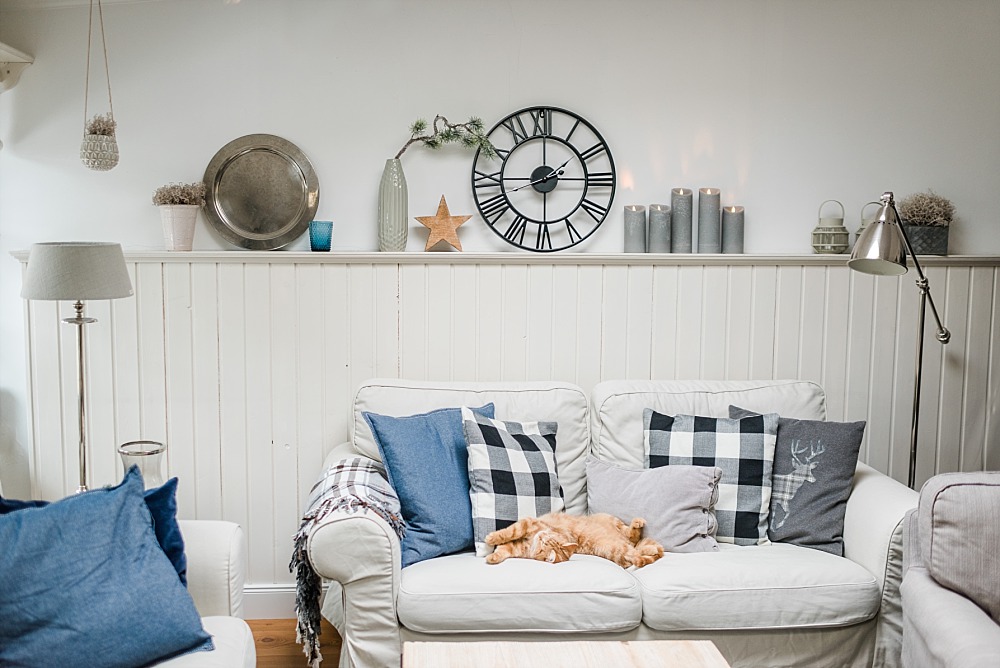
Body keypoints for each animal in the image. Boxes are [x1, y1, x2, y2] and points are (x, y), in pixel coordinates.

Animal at [484, 512, 664, 568]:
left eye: (545, 543)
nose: (541, 536)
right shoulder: (519, 537)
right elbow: (506, 539)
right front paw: (492, 553)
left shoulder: (528, 524)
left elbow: (512, 532)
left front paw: (490, 539)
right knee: (635, 542)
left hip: (617, 548)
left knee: (636, 547)